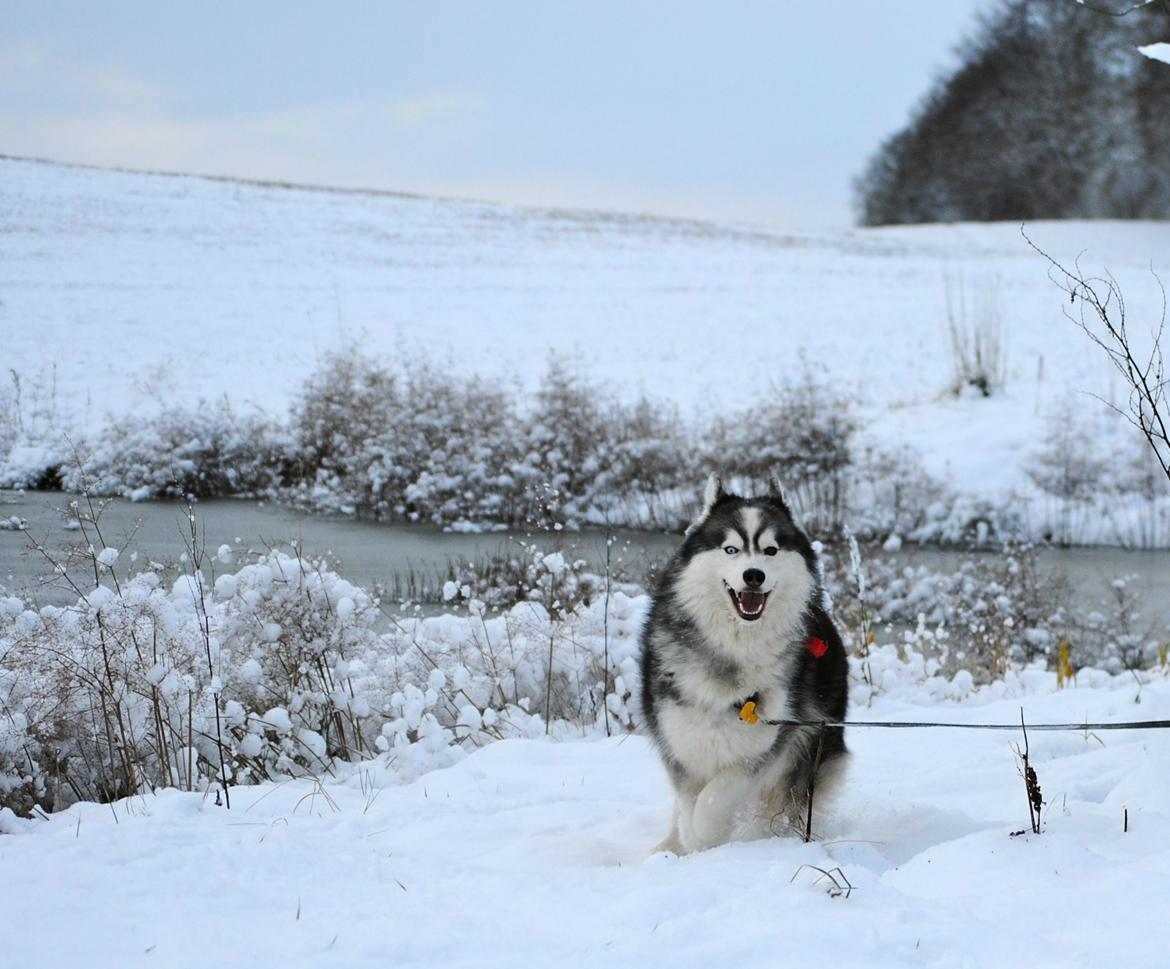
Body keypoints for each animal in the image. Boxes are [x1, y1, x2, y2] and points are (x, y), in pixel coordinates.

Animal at [641, 475, 851, 847]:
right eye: (731, 549)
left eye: (771, 550)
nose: (754, 575)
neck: (733, 648)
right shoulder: (680, 743)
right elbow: (688, 803)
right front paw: (691, 845)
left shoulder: (766, 745)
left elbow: (712, 803)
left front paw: (711, 840)